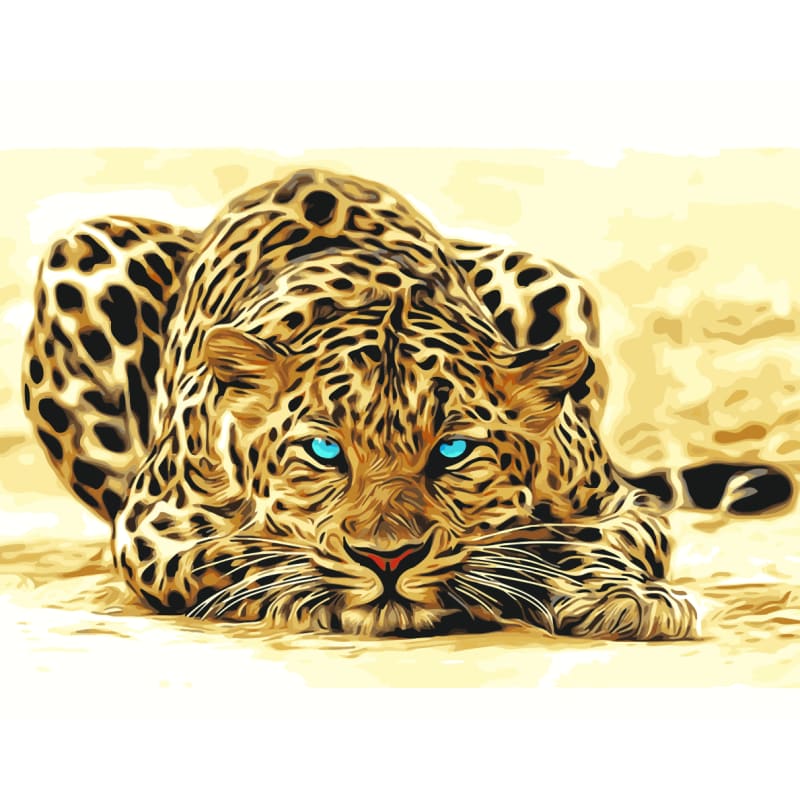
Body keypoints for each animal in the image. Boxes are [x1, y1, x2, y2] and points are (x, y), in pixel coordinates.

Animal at [21, 167, 791, 640]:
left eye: (453, 450)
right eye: (324, 450)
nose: (387, 560)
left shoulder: (617, 502)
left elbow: (585, 539)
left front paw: (619, 597)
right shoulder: (154, 526)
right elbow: (237, 554)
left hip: (548, 279)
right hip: (82, 250)